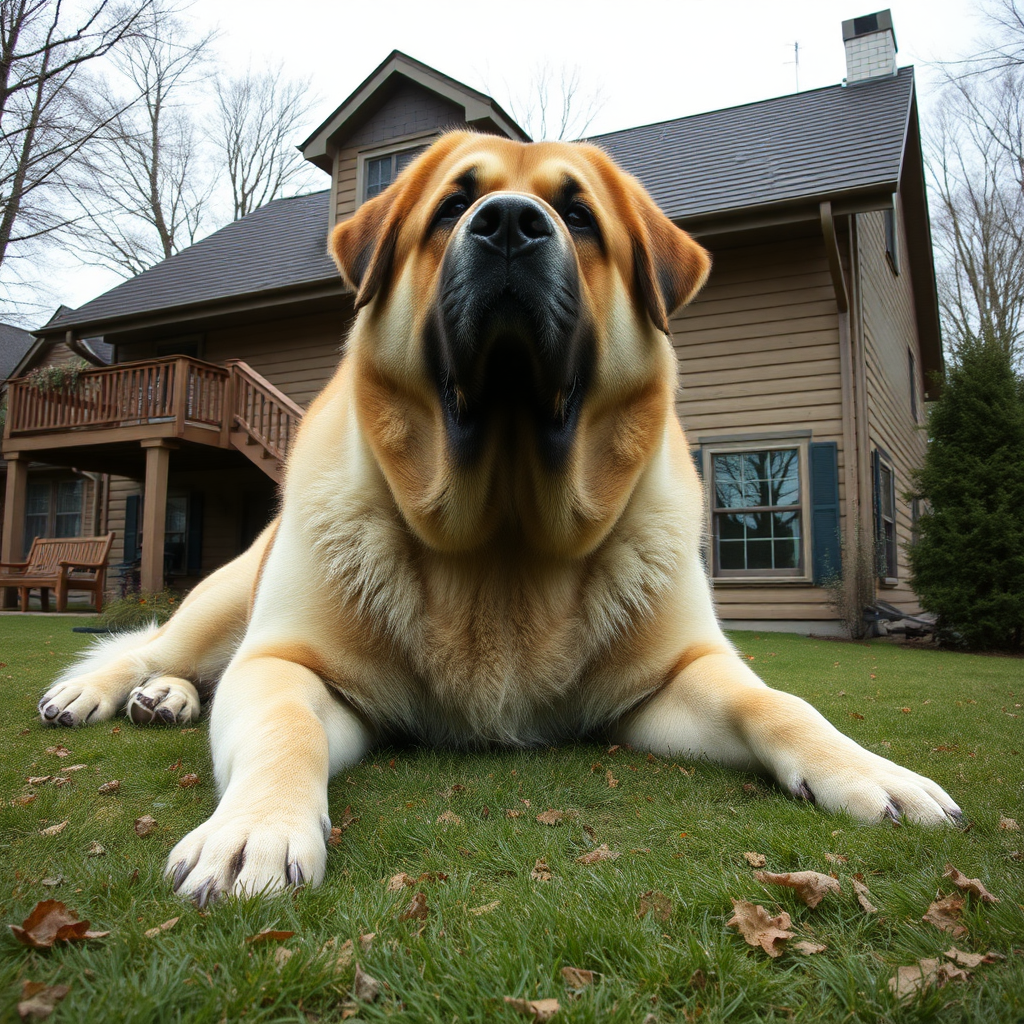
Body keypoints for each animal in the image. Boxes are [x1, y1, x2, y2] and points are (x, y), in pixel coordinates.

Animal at [34, 130, 958, 905]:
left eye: (579, 214)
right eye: (451, 205)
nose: (510, 224)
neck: (504, 534)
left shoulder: (673, 681)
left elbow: (779, 703)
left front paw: (871, 772)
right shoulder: (287, 664)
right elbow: (285, 728)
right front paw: (254, 831)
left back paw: (164, 701)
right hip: (224, 601)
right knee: (154, 647)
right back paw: (106, 692)